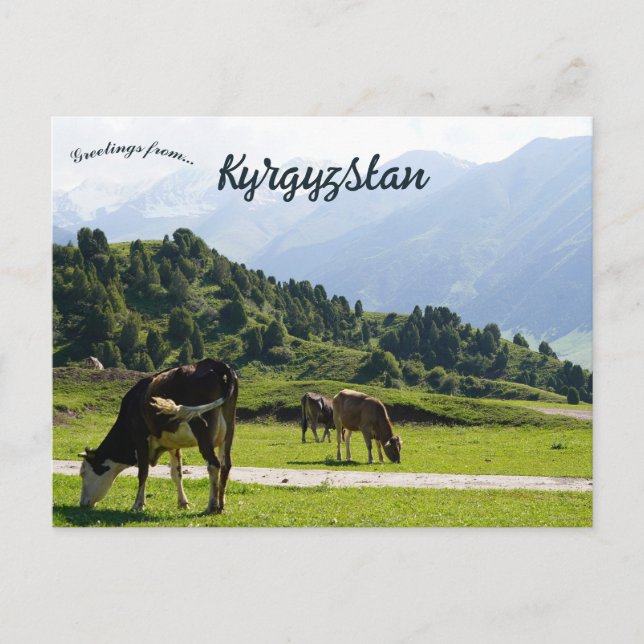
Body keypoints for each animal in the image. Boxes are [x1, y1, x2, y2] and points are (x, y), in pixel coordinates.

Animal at [78, 359, 238, 514]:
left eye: (83, 473)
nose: (82, 504)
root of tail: (216, 363)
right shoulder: (173, 444)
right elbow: (176, 473)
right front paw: (183, 503)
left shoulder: (140, 438)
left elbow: (143, 472)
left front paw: (138, 504)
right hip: (228, 433)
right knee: (225, 465)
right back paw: (221, 506)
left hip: (203, 433)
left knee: (214, 465)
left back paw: (212, 506)